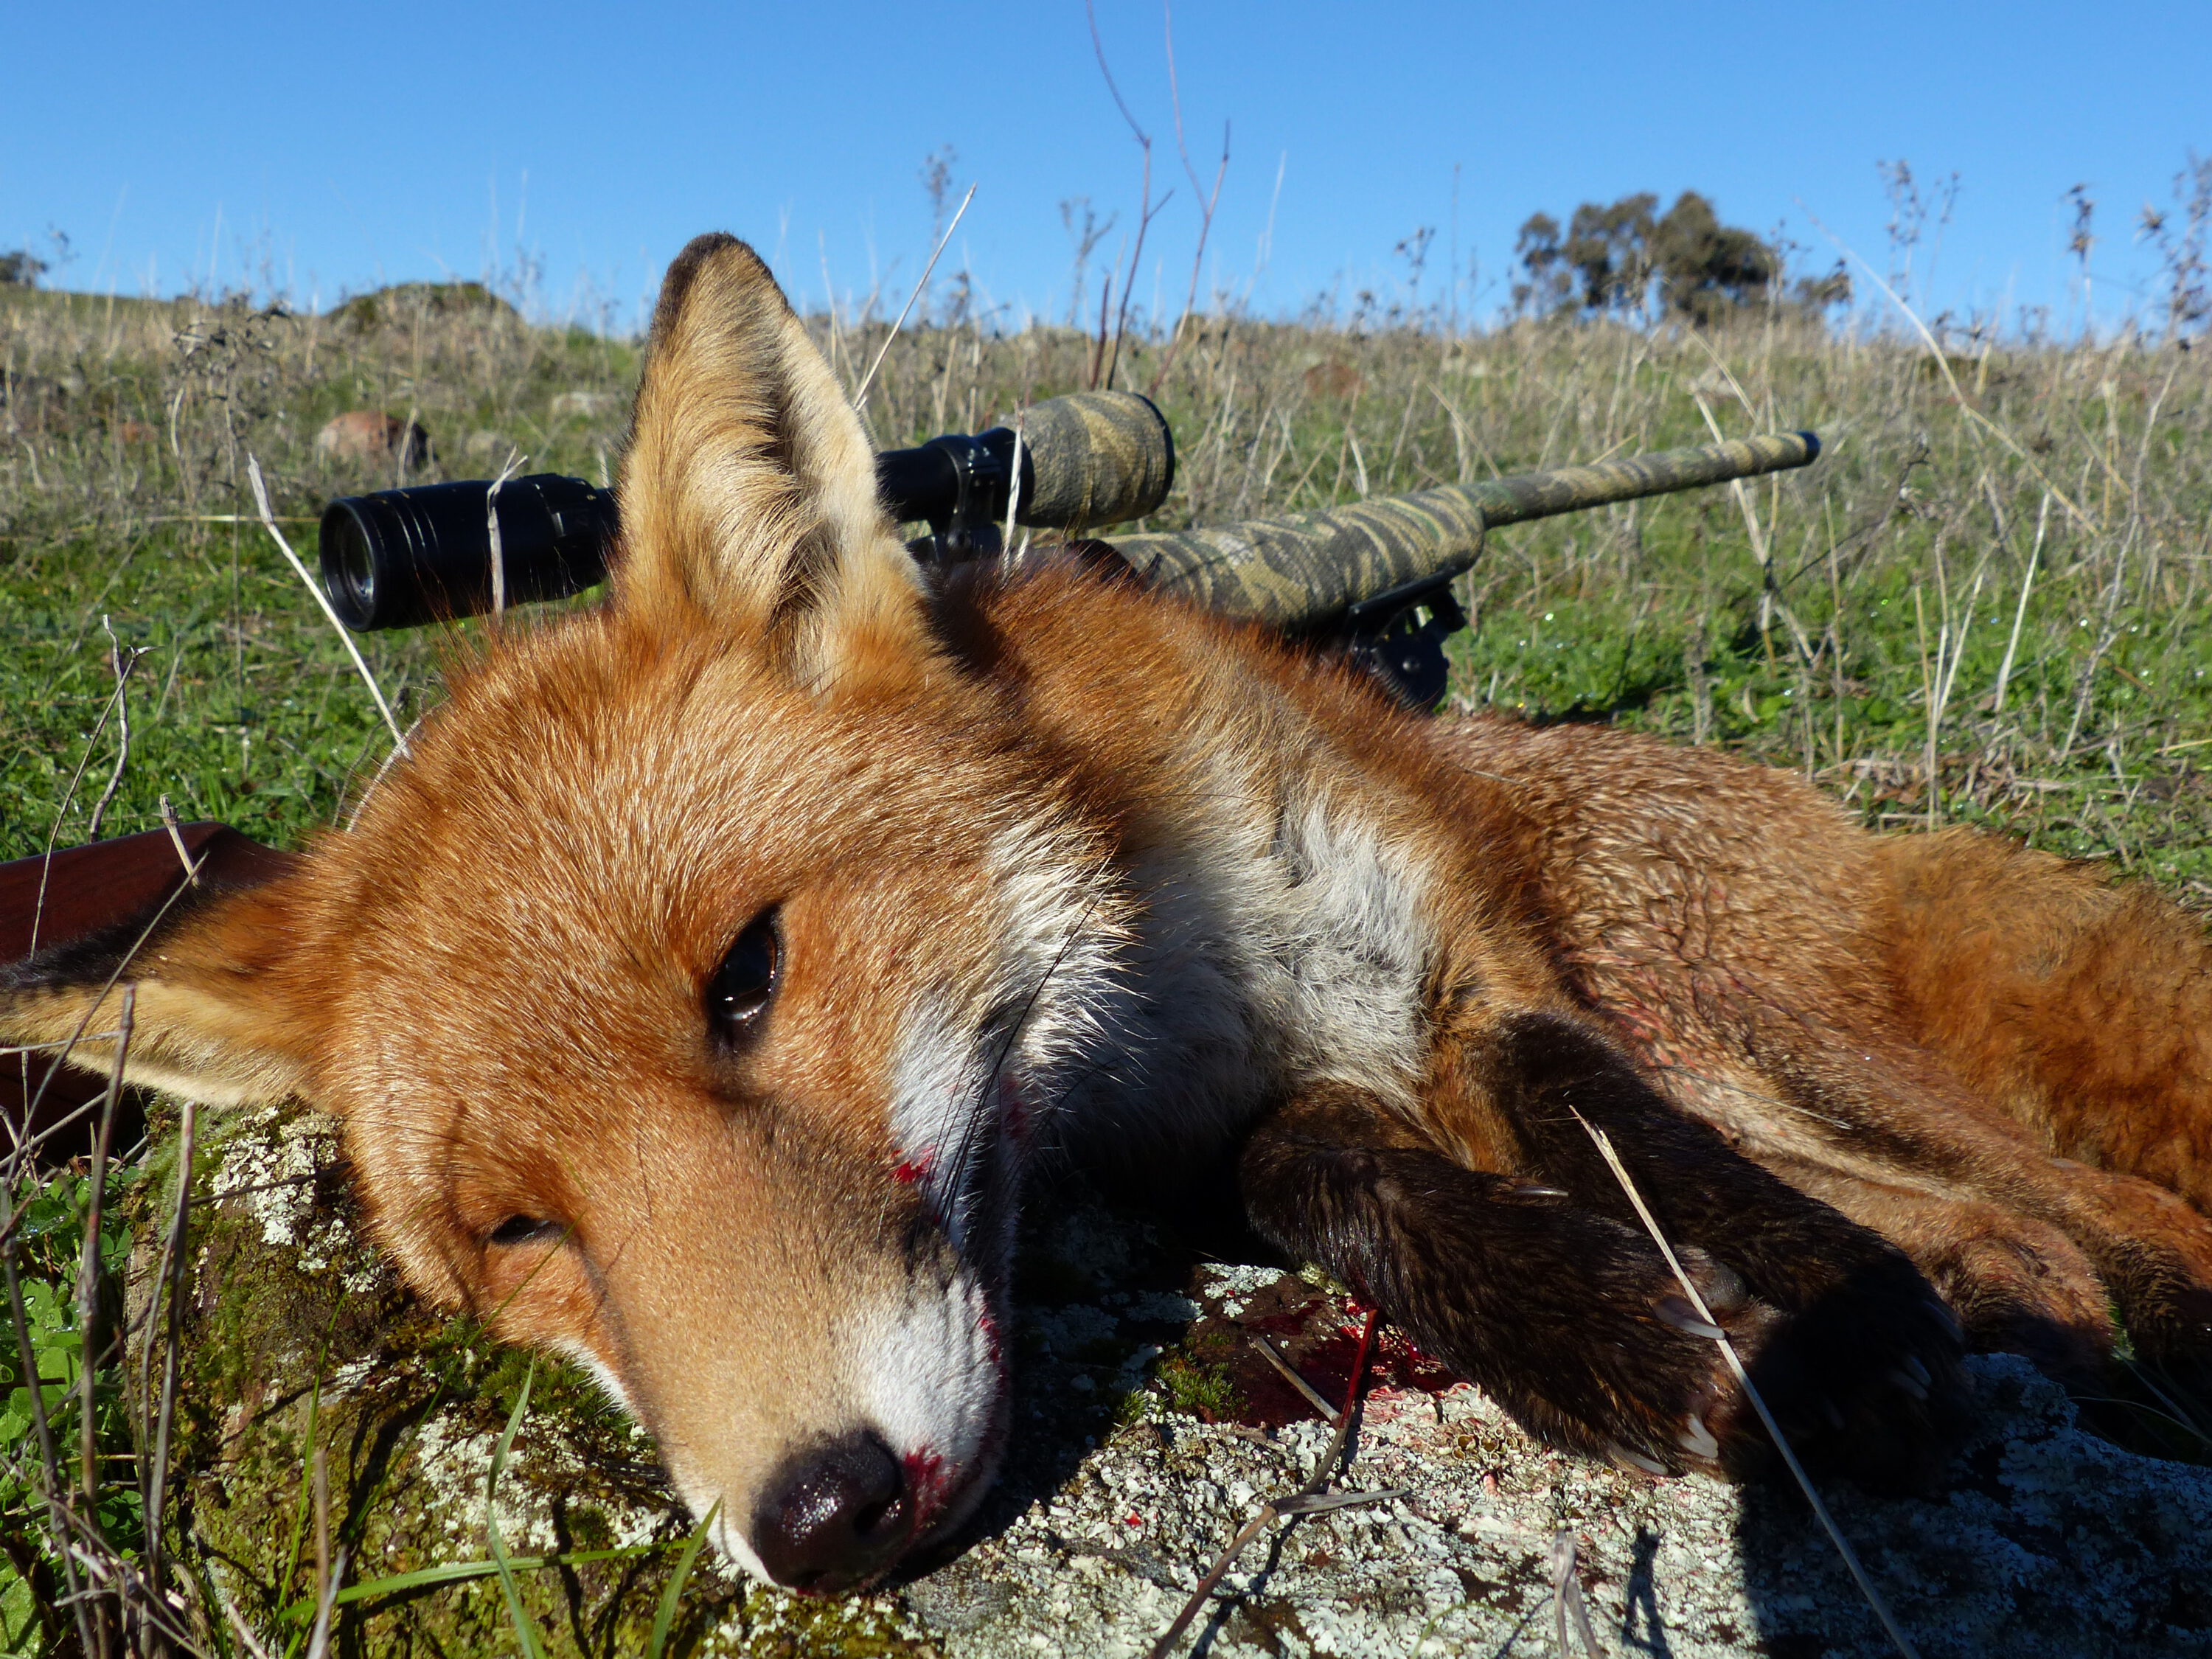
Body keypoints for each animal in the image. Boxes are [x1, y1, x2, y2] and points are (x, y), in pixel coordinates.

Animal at [4, 237, 2212, 1601]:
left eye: (748, 977)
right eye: (522, 1235)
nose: (819, 1515)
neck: (1175, 954)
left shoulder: (1477, 972)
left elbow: (1613, 1130)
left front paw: (1831, 1336)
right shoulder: (1221, 1137)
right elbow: (1337, 1173)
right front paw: (1632, 1333)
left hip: (1728, 1011)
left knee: (2096, 1209)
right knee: (2034, 1236)